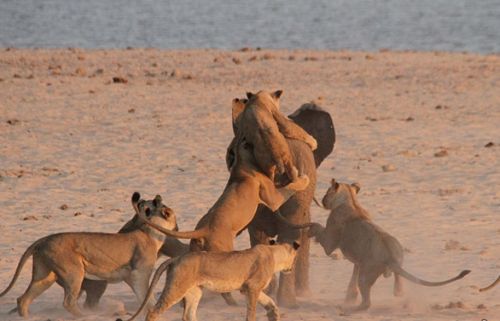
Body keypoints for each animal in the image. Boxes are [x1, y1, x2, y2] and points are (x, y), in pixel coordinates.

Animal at [0, 191, 178, 316]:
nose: (177, 228)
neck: (149, 229)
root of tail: (43, 239)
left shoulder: (130, 276)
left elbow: (144, 297)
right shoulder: (139, 274)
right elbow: (147, 297)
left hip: (44, 275)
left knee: (23, 300)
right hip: (74, 272)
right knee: (68, 302)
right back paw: (86, 316)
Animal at [119, 240, 298, 320]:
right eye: (295, 259)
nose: (292, 269)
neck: (274, 253)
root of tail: (177, 257)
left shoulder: (249, 288)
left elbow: (269, 301)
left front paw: (274, 313)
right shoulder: (251, 287)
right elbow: (251, 312)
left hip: (194, 292)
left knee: (188, 315)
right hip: (176, 288)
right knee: (153, 311)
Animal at [306, 178, 470, 310]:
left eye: (327, 191)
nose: (322, 199)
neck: (351, 200)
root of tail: (390, 257)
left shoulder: (330, 243)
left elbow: (319, 229)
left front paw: (309, 228)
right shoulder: (357, 259)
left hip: (365, 276)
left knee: (367, 302)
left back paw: (348, 309)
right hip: (398, 253)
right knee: (398, 284)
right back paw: (397, 290)